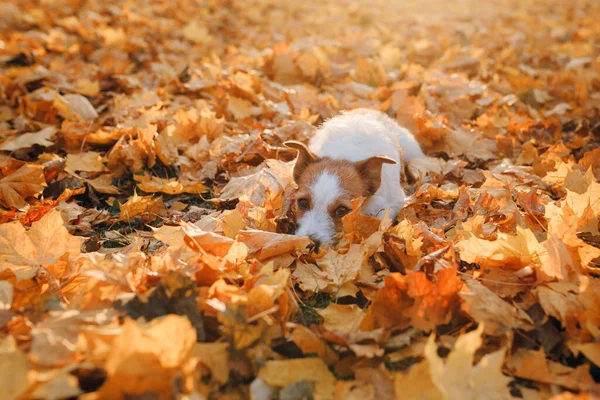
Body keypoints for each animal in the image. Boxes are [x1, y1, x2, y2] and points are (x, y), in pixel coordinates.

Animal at [284, 108, 424, 248]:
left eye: (342, 210)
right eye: (302, 202)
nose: (310, 245)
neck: (341, 156)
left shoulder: (395, 202)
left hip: (413, 151)